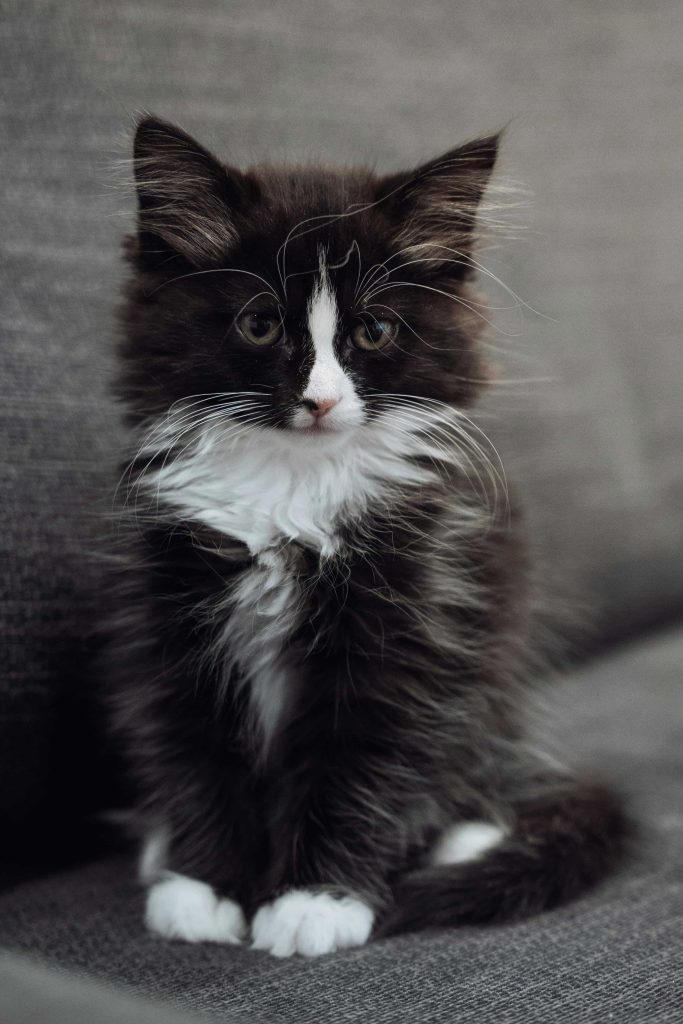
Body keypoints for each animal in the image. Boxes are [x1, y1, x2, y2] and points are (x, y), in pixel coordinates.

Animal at [108, 119, 630, 958]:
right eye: (259, 324)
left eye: (374, 330)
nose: (320, 401)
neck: (292, 484)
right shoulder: (173, 611)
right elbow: (196, 751)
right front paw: (202, 886)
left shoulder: (410, 619)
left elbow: (365, 760)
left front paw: (315, 900)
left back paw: (465, 836)